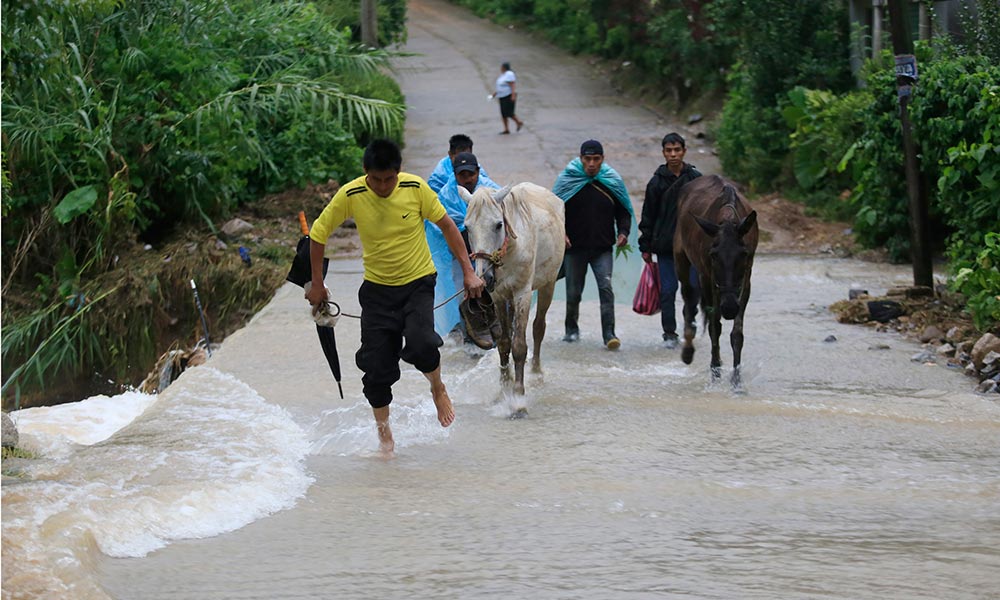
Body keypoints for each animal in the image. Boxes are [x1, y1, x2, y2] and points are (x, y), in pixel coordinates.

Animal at [458, 183, 568, 406]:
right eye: (468, 227)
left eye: (499, 225)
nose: (485, 277)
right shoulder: (499, 297)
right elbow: (503, 343)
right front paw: (504, 388)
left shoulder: (522, 295)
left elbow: (519, 346)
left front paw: (517, 398)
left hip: (548, 285)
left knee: (538, 328)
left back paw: (536, 372)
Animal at [672, 176, 756, 386]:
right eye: (713, 255)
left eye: (744, 254)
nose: (729, 308)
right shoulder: (707, 276)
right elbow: (714, 327)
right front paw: (715, 371)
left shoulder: (746, 279)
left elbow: (737, 333)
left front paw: (736, 379)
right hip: (681, 258)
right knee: (688, 303)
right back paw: (688, 351)